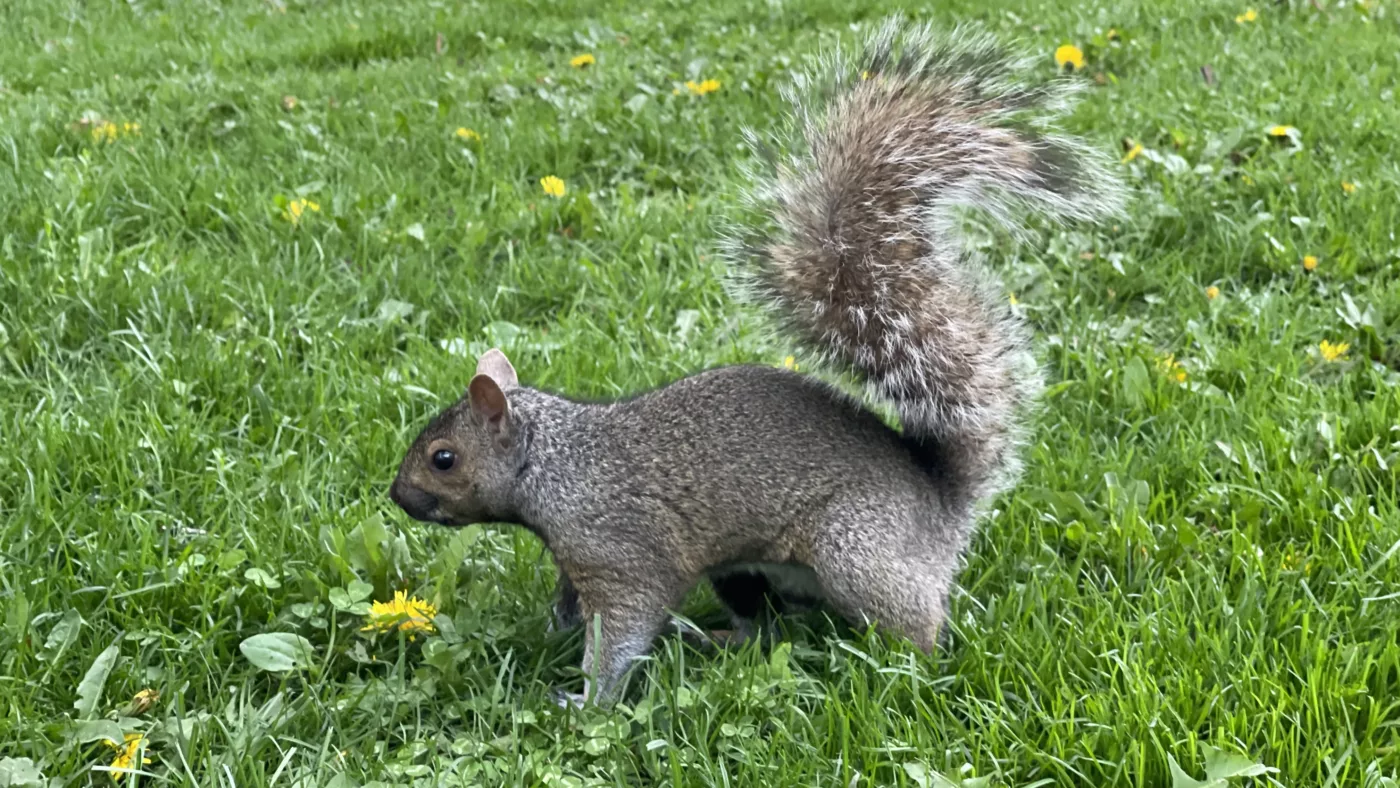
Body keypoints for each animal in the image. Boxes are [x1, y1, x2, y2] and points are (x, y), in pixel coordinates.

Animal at [386, 20, 1125, 708]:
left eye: (443, 458)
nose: (396, 497)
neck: (553, 463)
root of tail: (942, 506)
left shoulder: (621, 550)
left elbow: (622, 630)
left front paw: (584, 701)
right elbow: (576, 605)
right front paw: (557, 628)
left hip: (855, 551)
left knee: (915, 624)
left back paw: (906, 668)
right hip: (743, 570)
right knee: (766, 626)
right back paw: (719, 640)